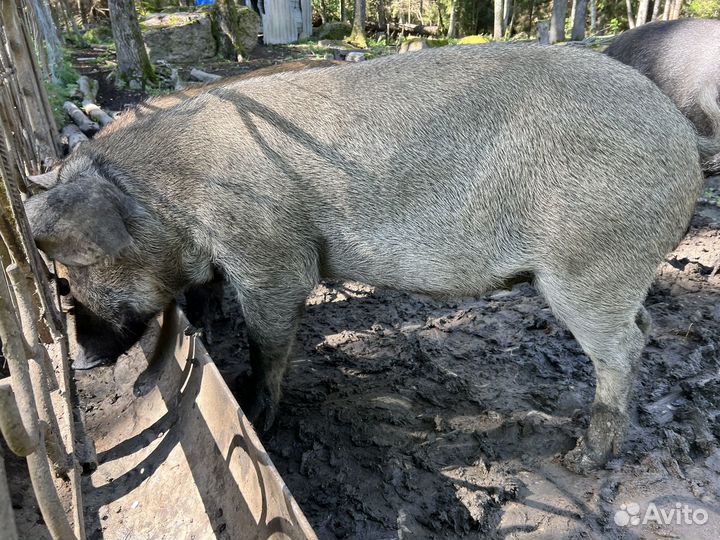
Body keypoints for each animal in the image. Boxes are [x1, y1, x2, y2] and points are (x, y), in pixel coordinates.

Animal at [24, 45, 704, 473]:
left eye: (77, 269)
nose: (80, 362)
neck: (170, 197)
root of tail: (685, 143)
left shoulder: (272, 256)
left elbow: (269, 343)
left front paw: (255, 416)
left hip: (590, 263)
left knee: (623, 349)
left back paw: (583, 458)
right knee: (644, 328)